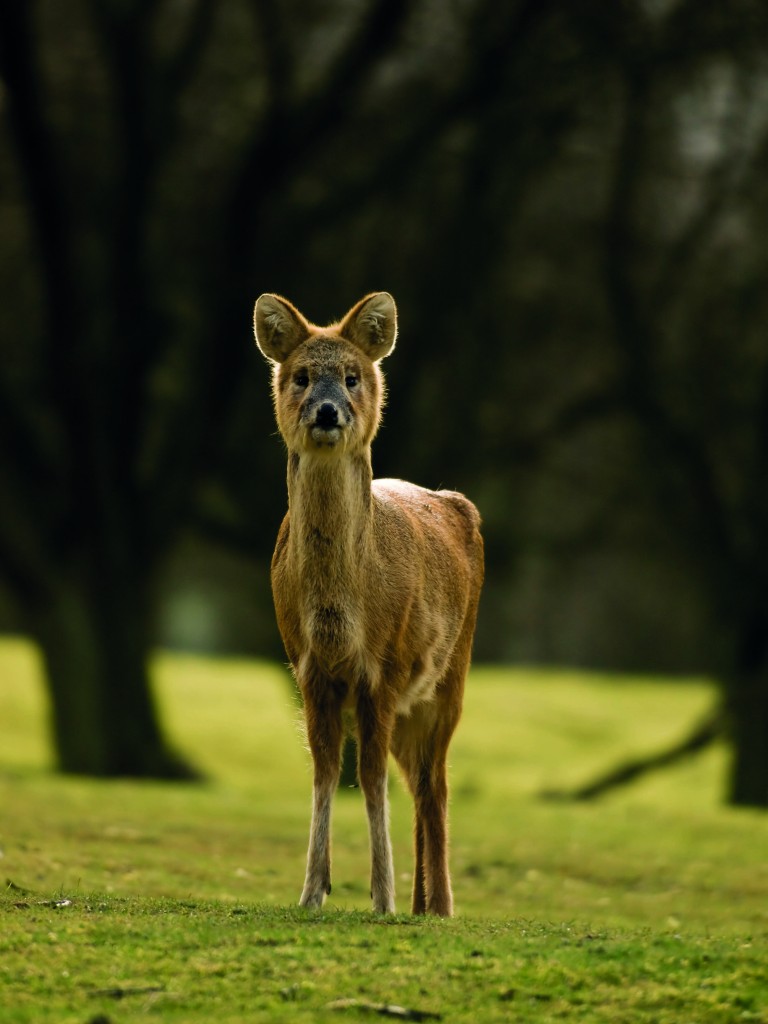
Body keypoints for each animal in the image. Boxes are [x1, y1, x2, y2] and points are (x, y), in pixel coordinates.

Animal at [253, 291, 484, 916]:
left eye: (353, 376)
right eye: (302, 376)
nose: (328, 411)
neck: (343, 612)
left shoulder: (384, 664)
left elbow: (370, 775)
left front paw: (381, 897)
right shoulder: (306, 665)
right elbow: (326, 769)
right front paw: (313, 891)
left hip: (450, 675)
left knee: (435, 783)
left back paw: (440, 905)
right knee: (418, 781)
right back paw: (423, 903)